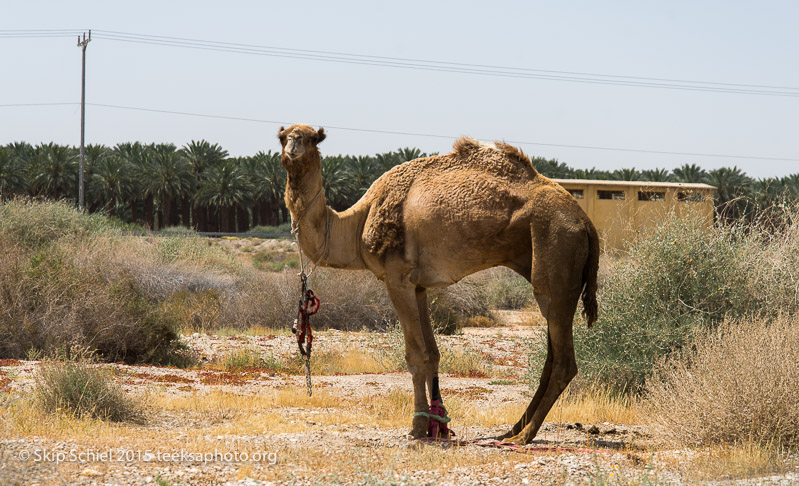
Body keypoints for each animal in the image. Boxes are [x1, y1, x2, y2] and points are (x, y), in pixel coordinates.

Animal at [278, 122, 596, 444]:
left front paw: (417, 428)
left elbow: (415, 354)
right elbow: (432, 353)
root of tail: (585, 221)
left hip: (556, 251)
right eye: (282, 136)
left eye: (313, 138)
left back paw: (523, 436)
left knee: (564, 359)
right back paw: (513, 429)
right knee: (551, 358)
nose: (293, 147)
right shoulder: (418, 285)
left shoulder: (397, 277)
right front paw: (438, 424)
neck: (358, 222)